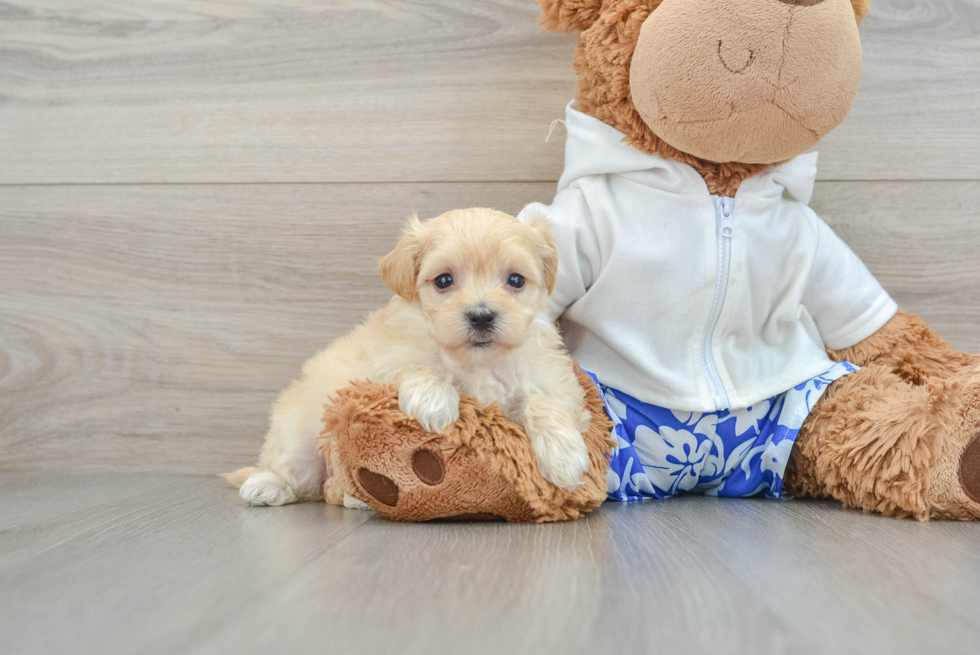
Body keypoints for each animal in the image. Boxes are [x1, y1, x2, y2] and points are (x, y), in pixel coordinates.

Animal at [226, 208, 588, 504]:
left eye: (515, 280)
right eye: (444, 280)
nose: (482, 316)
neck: (476, 361)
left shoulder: (547, 375)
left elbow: (545, 402)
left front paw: (565, 457)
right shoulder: (383, 362)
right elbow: (417, 363)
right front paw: (435, 402)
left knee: (332, 489)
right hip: (298, 435)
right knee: (297, 474)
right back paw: (267, 485)